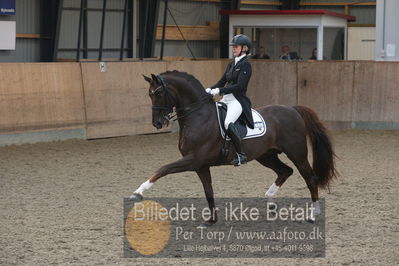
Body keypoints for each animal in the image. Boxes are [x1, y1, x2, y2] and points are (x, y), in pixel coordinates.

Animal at [131, 70, 338, 224]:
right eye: (149, 94)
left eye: (158, 93)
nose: (157, 123)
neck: (198, 116)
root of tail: (293, 109)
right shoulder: (201, 165)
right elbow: (208, 191)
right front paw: (211, 220)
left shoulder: (193, 160)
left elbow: (163, 169)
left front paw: (138, 193)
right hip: (266, 155)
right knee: (285, 171)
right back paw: (270, 202)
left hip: (297, 153)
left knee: (310, 178)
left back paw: (312, 215)